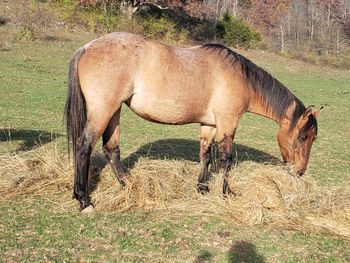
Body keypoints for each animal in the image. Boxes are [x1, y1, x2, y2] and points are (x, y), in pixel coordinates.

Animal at [64, 32, 322, 212]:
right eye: (303, 137)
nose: (300, 171)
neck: (240, 78)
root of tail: (87, 47)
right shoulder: (228, 123)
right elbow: (227, 159)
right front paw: (227, 193)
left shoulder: (210, 125)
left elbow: (205, 155)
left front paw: (203, 188)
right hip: (103, 111)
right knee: (84, 145)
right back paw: (84, 200)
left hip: (114, 112)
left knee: (111, 149)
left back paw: (129, 186)